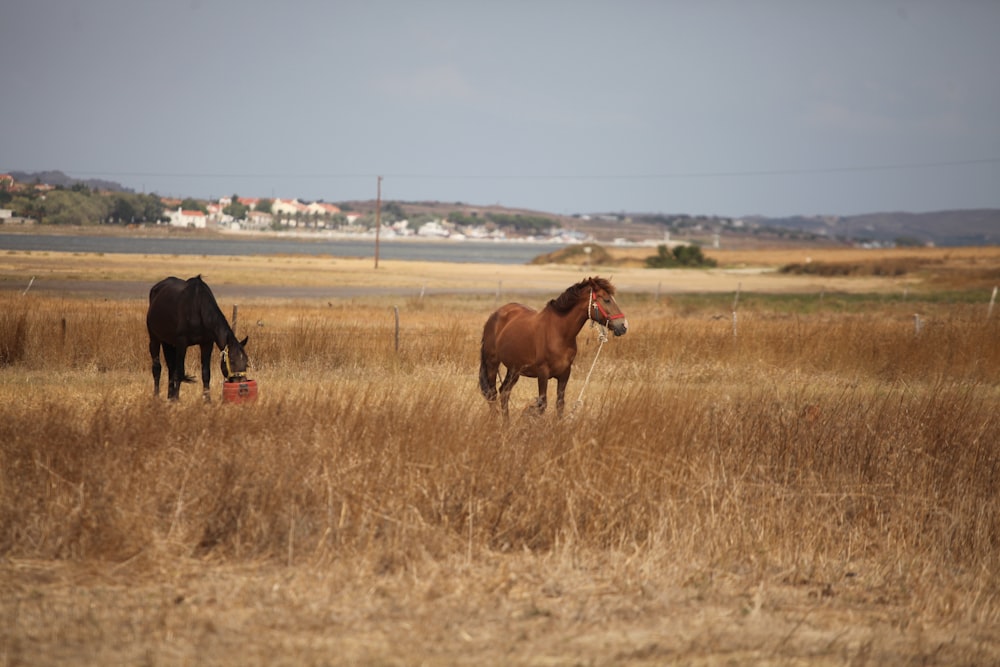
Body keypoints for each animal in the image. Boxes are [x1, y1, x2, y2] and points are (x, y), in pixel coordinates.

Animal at [476, 276, 624, 418]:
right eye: (607, 300)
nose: (623, 326)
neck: (559, 332)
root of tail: (494, 315)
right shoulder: (543, 373)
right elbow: (542, 405)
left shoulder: (565, 373)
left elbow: (560, 404)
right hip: (492, 363)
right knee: (492, 393)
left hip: (514, 370)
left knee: (504, 392)